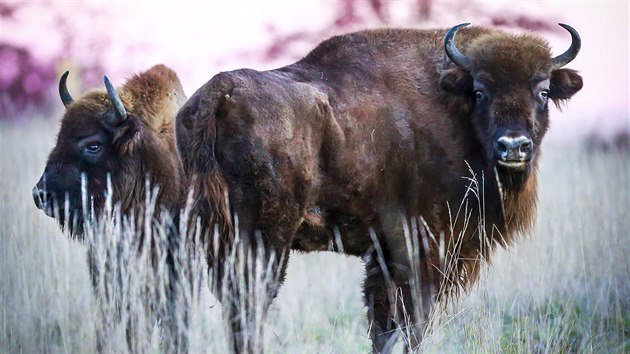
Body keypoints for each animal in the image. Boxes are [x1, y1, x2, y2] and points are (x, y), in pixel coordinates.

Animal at [177, 23, 584, 352]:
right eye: (481, 90)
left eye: (543, 91)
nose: (513, 146)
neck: (452, 104)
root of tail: (222, 88)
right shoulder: (424, 248)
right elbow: (411, 324)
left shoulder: (385, 255)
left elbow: (383, 326)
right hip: (266, 239)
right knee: (249, 307)